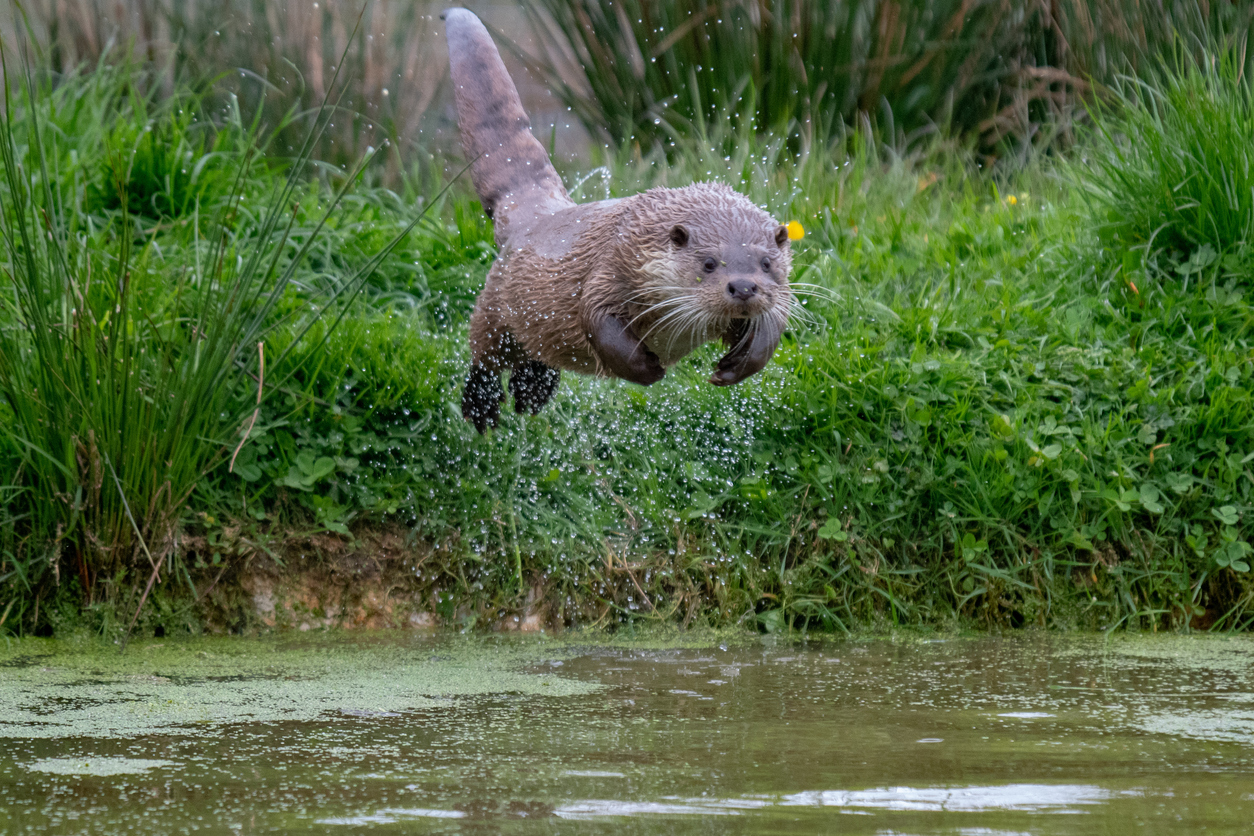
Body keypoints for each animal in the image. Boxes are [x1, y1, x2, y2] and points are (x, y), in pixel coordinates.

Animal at [443, 8, 794, 432]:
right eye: (709, 263)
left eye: (766, 264)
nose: (743, 287)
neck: (642, 236)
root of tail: (535, 214)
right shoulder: (611, 266)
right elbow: (596, 320)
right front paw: (647, 369)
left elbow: (772, 325)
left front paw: (738, 364)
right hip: (499, 301)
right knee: (485, 350)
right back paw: (483, 405)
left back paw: (533, 393)